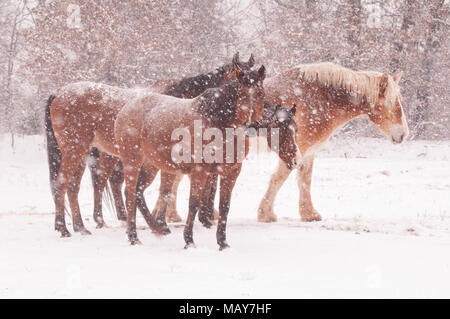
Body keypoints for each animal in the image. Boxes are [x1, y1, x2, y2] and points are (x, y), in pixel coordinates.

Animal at [114, 57, 272, 249]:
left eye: (261, 94)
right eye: (241, 94)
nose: (250, 126)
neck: (215, 121)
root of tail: (128, 106)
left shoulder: (231, 172)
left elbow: (225, 206)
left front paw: (222, 242)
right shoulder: (199, 171)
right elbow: (194, 204)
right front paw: (189, 241)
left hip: (152, 164)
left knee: (138, 192)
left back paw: (156, 229)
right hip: (132, 160)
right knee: (130, 193)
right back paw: (134, 236)